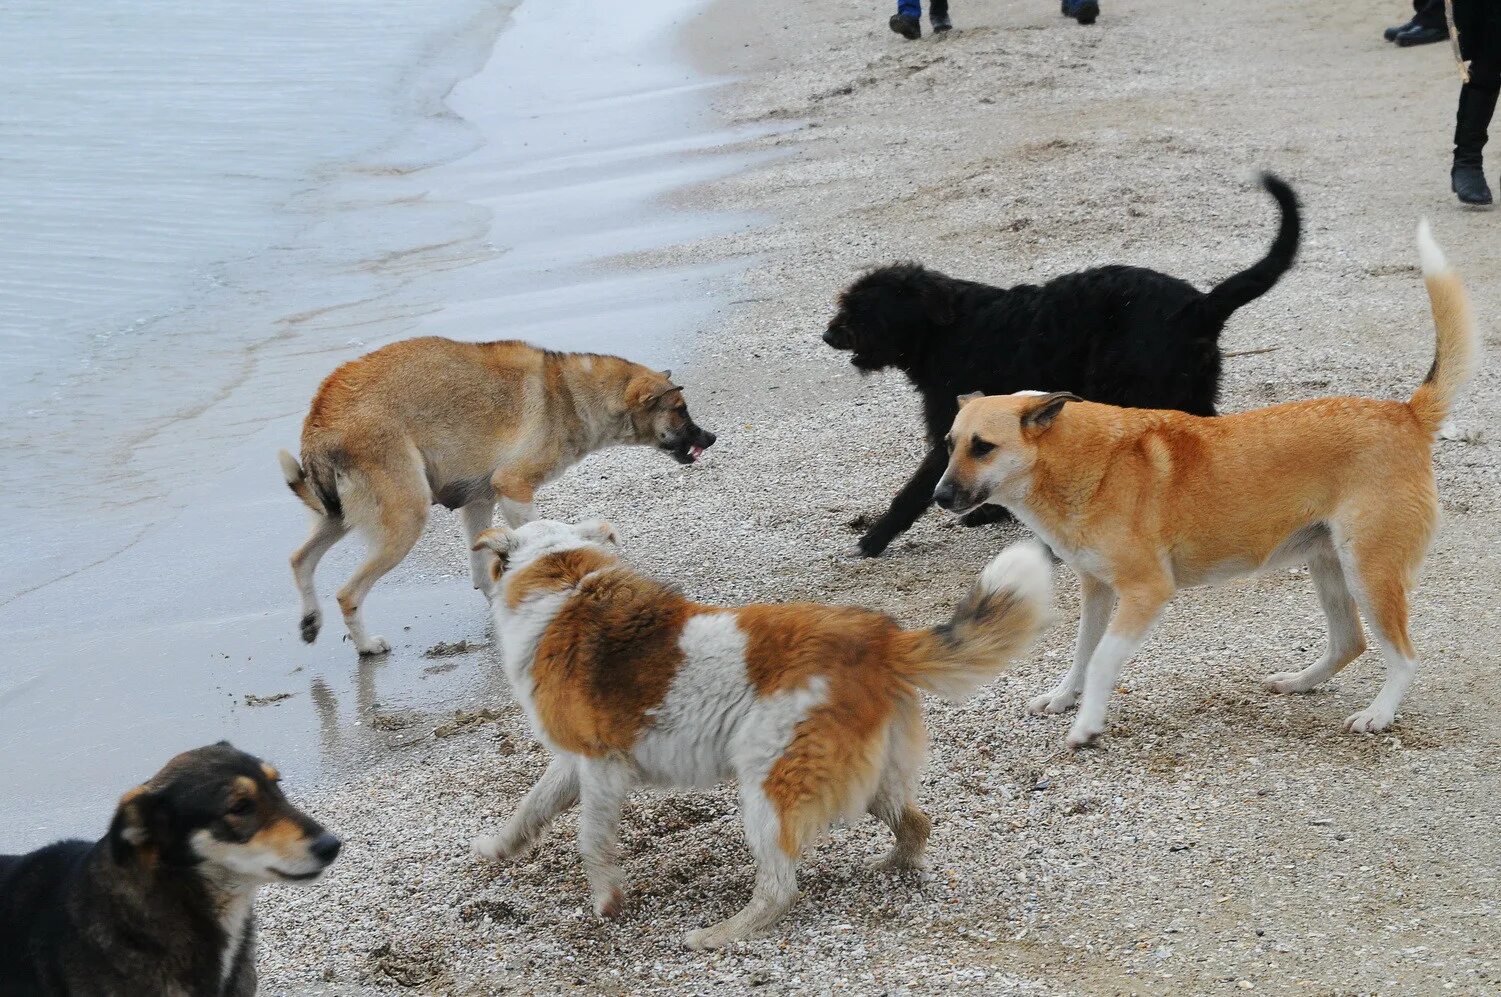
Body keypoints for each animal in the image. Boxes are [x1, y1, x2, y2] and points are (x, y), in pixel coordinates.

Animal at [285, 339, 720, 657]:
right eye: (680, 409)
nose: (712, 437)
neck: (569, 394)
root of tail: (321, 416)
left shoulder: (479, 502)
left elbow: (481, 567)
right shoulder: (514, 489)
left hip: (337, 516)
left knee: (300, 560)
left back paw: (310, 620)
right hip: (405, 519)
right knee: (348, 594)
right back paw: (365, 646)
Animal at [471, 516, 1056, 948]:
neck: (560, 575)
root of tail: (880, 639)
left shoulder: (601, 767)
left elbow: (591, 840)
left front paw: (606, 901)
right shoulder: (574, 762)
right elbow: (531, 807)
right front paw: (497, 847)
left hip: (769, 784)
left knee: (779, 889)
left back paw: (718, 935)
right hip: (865, 776)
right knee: (917, 822)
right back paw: (893, 867)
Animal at [828, 174, 1296, 555]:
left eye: (860, 310)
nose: (828, 335)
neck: (948, 329)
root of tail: (1199, 306)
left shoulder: (955, 423)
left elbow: (916, 489)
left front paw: (874, 539)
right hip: (1191, 393)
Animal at [936, 220, 1476, 747]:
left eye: (983, 447)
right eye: (949, 443)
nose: (940, 497)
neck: (1083, 460)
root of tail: (1405, 413)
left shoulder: (1147, 590)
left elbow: (1104, 658)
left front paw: (1086, 725)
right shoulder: (1099, 589)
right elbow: (1082, 652)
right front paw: (1064, 697)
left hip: (1369, 570)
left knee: (1403, 656)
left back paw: (1378, 714)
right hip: (1329, 564)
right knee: (1350, 642)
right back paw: (1299, 682)